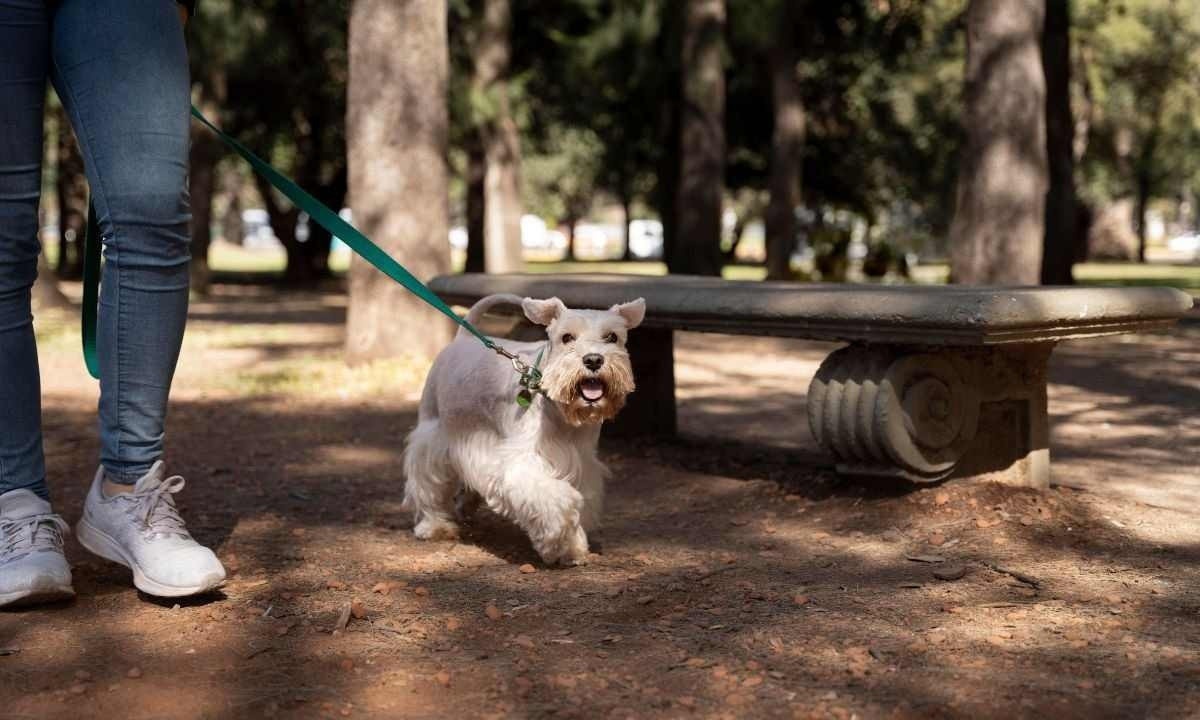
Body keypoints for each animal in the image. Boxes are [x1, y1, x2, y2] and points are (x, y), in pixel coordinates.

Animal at [400, 295, 648, 566]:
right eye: (567, 337)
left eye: (612, 337)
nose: (593, 360)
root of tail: (462, 339)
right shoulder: (522, 463)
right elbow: (558, 501)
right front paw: (558, 543)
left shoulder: (583, 463)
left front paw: (572, 548)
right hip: (433, 430)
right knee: (426, 480)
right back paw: (434, 525)